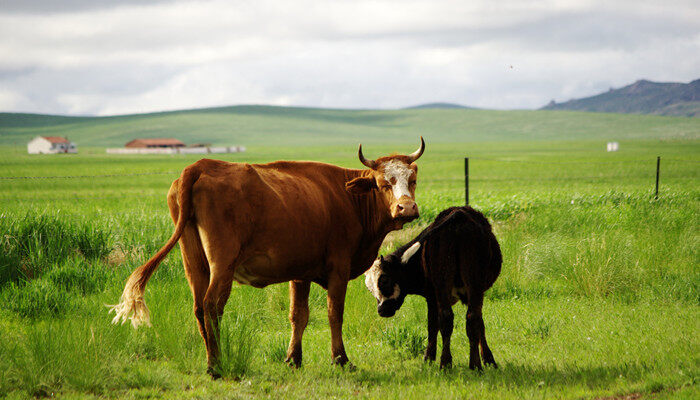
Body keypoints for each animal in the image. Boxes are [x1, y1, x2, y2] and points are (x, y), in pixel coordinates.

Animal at [110, 139, 424, 376]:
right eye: (383, 183)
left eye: (413, 180)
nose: (407, 208)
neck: (348, 198)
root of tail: (200, 166)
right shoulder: (338, 269)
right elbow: (334, 314)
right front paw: (341, 359)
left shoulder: (300, 272)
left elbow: (298, 316)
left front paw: (293, 359)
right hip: (222, 264)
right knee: (212, 306)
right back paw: (216, 365)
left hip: (194, 263)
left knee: (199, 307)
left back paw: (211, 359)